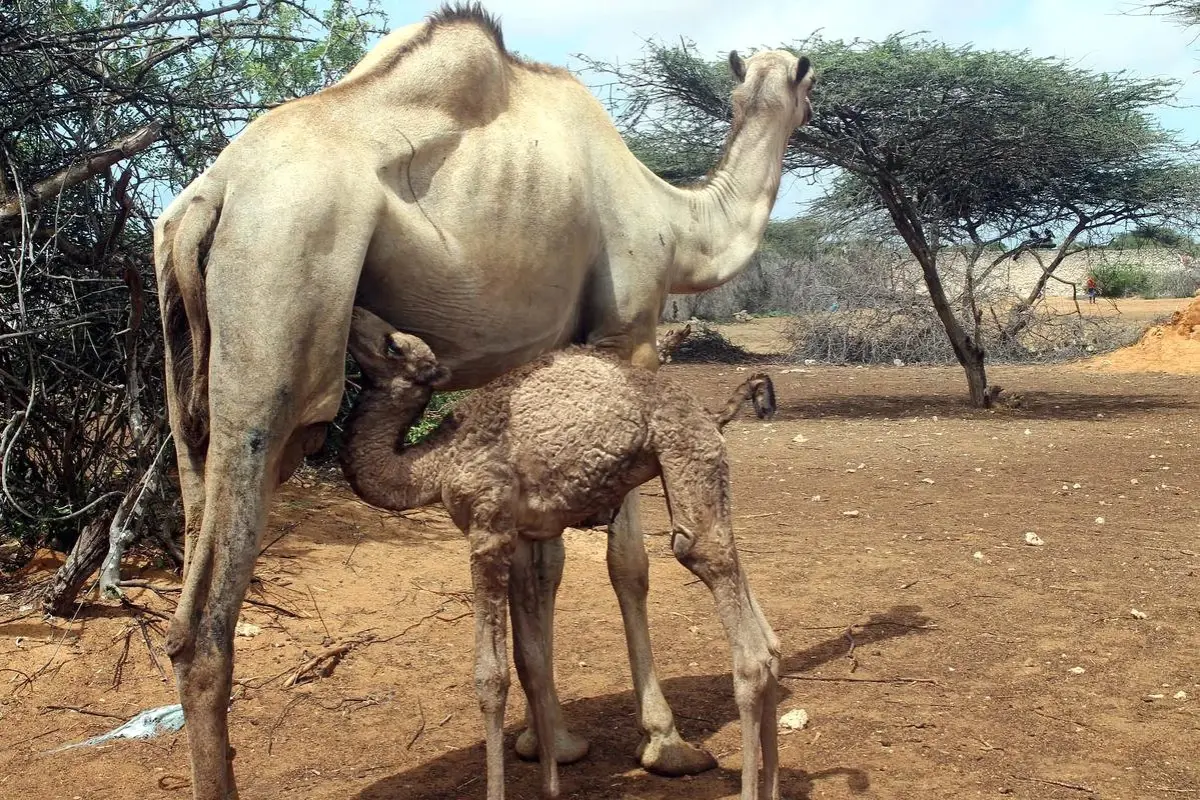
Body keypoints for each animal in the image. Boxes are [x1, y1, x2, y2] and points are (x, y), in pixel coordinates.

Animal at [154, 3, 816, 796]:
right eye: (810, 81)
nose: (817, 105)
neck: (678, 221)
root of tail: (209, 199)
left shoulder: (541, 367)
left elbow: (543, 566)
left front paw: (550, 740)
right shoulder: (626, 329)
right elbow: (627, 562)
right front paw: (665, 743)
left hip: (187, 392)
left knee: (186, 568)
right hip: (277, 320)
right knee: (206, 625)